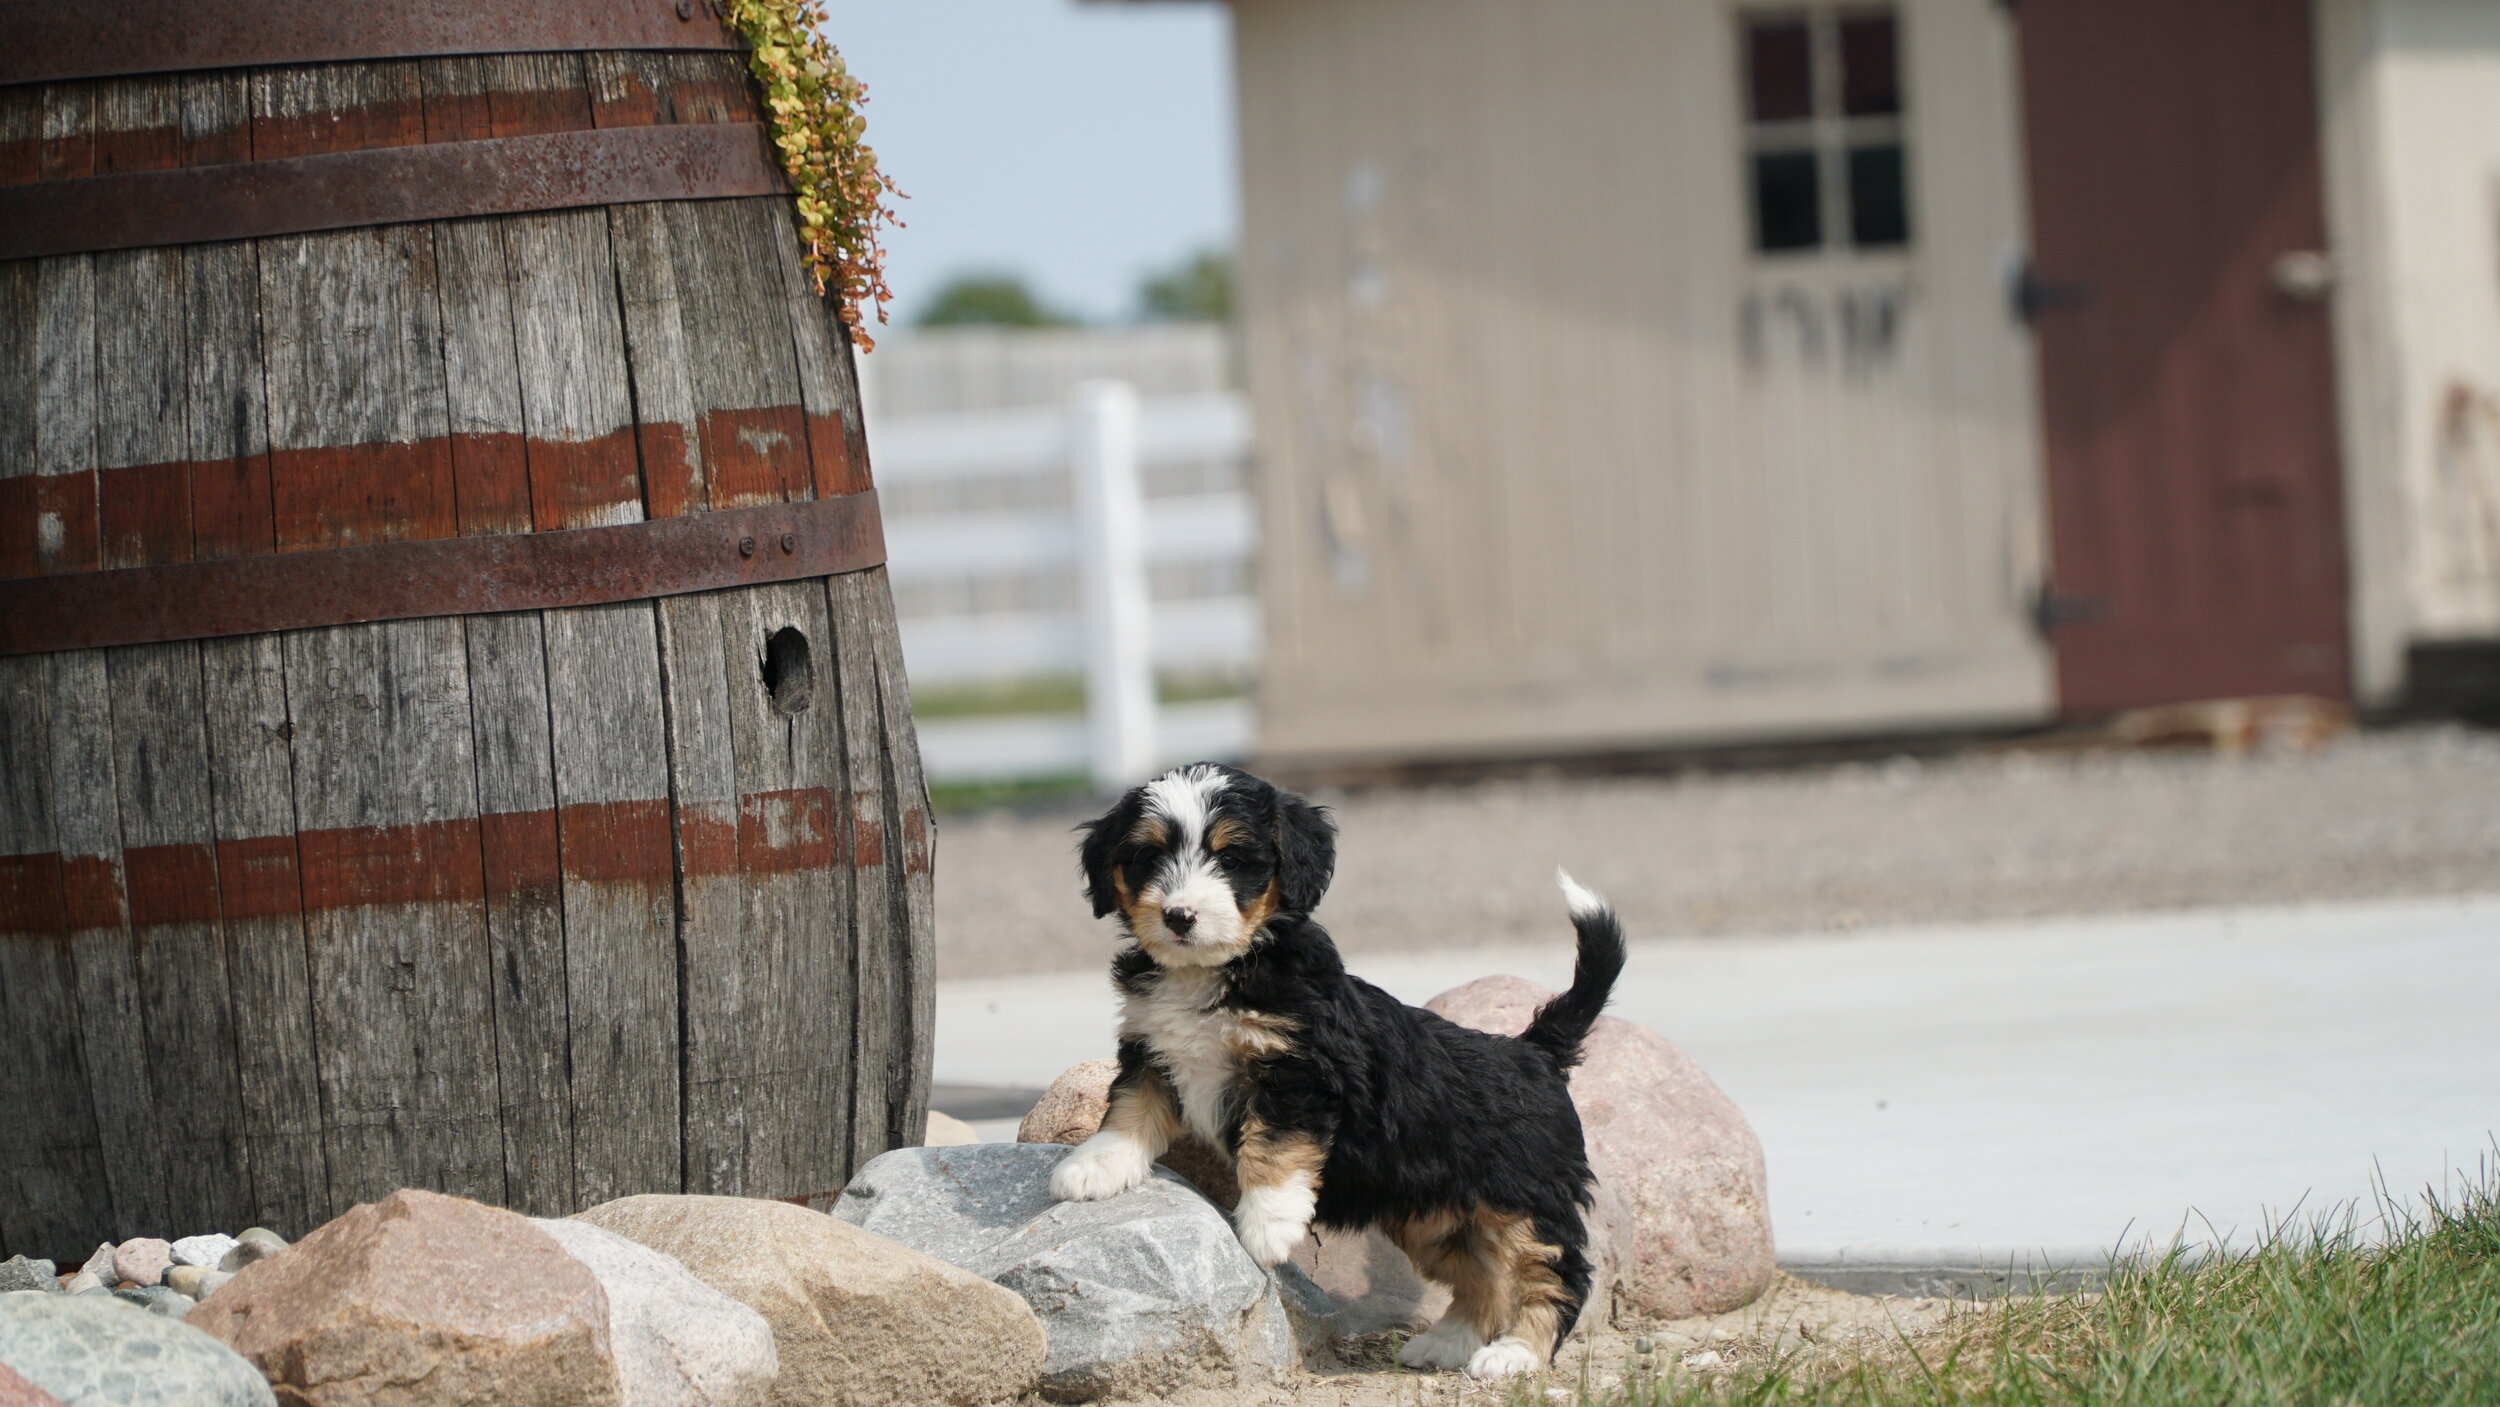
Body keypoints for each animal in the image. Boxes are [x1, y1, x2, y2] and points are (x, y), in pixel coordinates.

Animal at [1045, 764, 1630, 1379]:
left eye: (1231, 859)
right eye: (1146, 857)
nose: (1179, 916)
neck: (1217, 971)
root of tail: (1533, 1051)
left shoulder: (1299, 1074)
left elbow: (1274, 1148)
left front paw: (1269, 1225)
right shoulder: (1151, 1049)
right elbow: (1130, 1107)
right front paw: (1096, 1166)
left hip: (1526, 1203)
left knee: (1557, 1274)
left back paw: (1515, 1354)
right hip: (1433, 1214)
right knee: (1482, 1275)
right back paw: (1449, 1342)